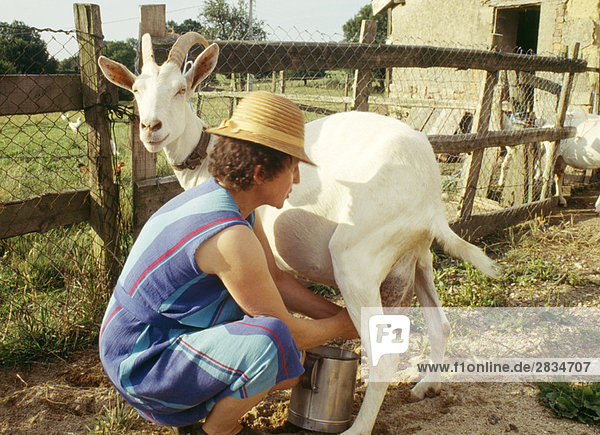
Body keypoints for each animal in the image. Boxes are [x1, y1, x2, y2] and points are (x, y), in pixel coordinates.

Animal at [99, 33, 496, 435]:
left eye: (181, 89)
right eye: (135, 90)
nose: (152, 128)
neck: (210, 158)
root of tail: (429, 193)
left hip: (357, 260)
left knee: (383, 355)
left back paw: (357, 428)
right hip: (417, 258)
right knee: (440, 325)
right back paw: (426, 386)